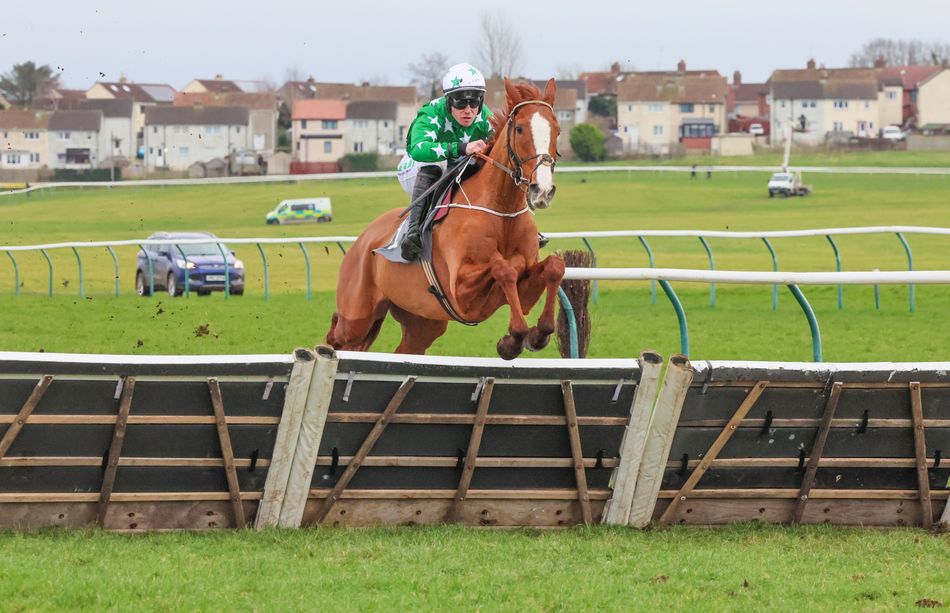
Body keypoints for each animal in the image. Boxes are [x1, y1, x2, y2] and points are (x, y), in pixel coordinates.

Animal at [326, 78, 564, 360]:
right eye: (519, 129)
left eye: (557, 130)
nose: (543, 191)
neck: (501, 212)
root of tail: (362, 240)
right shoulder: (460, 291)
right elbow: (504, 269)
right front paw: (513, 339)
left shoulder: (523, 285)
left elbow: (554, 267)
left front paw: (536, 334)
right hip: (357, 317)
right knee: (336, 337)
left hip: (423, 321)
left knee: (406, 349)